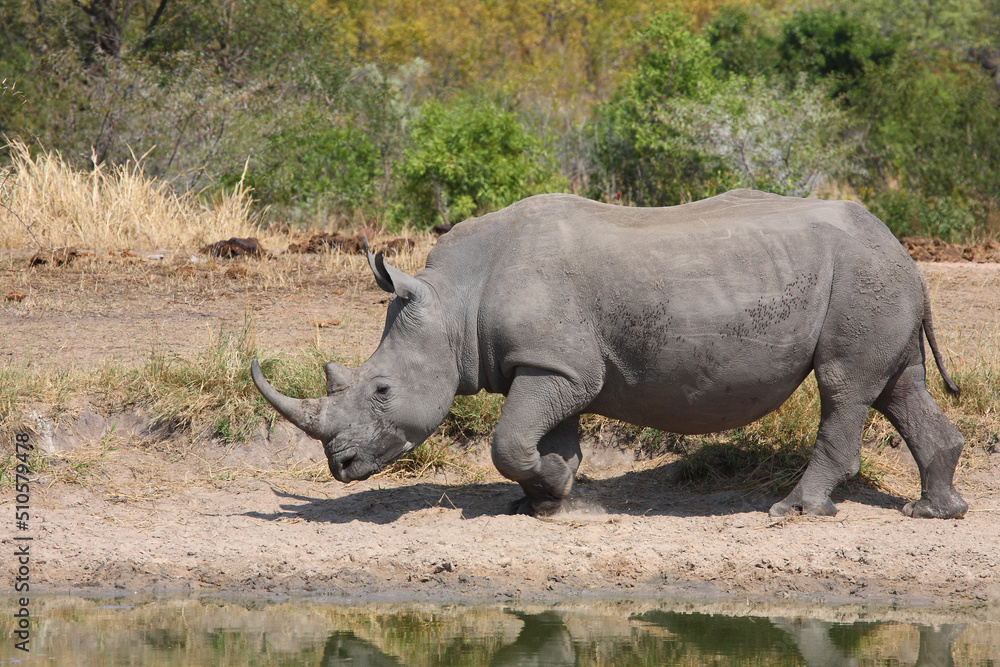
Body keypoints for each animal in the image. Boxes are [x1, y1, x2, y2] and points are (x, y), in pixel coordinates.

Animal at [252, 190, 968, 519]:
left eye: (380, 391)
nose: (340, 466)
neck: (454, 300)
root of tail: (903, 249)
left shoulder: (553, 364)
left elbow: (508, 440)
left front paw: (553, 491)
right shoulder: (556, 364)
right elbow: (542, 438)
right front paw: (551, 497)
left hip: (861, 278)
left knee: (844, 387)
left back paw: (792, 511)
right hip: (877, 280)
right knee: (895, 387)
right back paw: (934, 511)